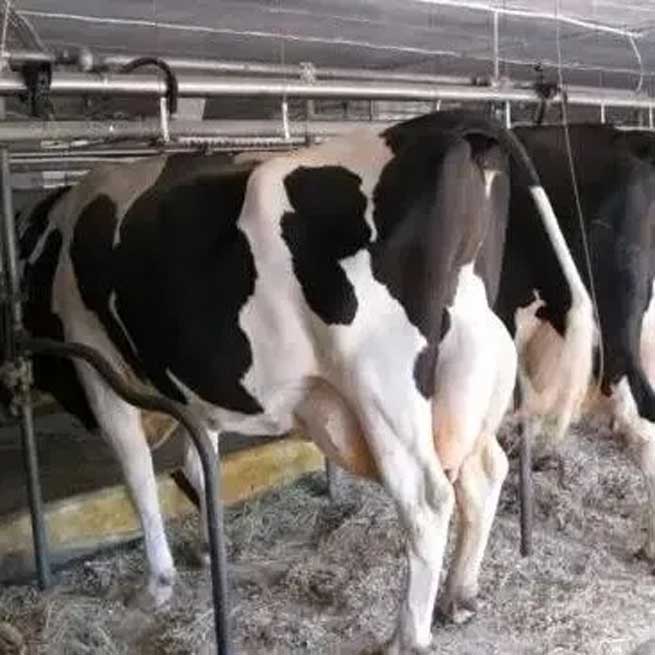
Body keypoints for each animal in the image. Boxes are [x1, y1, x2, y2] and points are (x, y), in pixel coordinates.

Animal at [7, 111, 592, 653]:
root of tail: (441, 123)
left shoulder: (98, 370)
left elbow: (138, 479)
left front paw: (157, 584)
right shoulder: (197, 390)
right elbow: (200, 465)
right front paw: (208, 546)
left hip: (383, 385)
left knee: (427, 499)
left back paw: (407, 634)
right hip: (471, 364)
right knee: (485, 472)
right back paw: (460, 595)